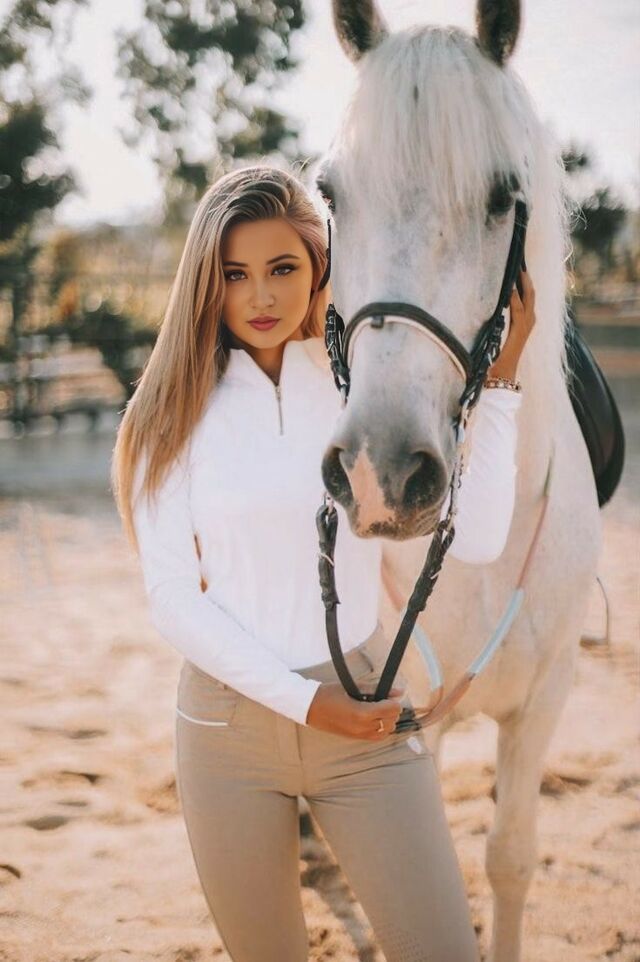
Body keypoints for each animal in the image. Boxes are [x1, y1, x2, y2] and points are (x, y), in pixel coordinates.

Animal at [317, 3, 602, 960]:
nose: (380, 473)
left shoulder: (546, 700)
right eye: (330, 193)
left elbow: (509, 857)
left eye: (501, 195)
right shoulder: (397, 708)